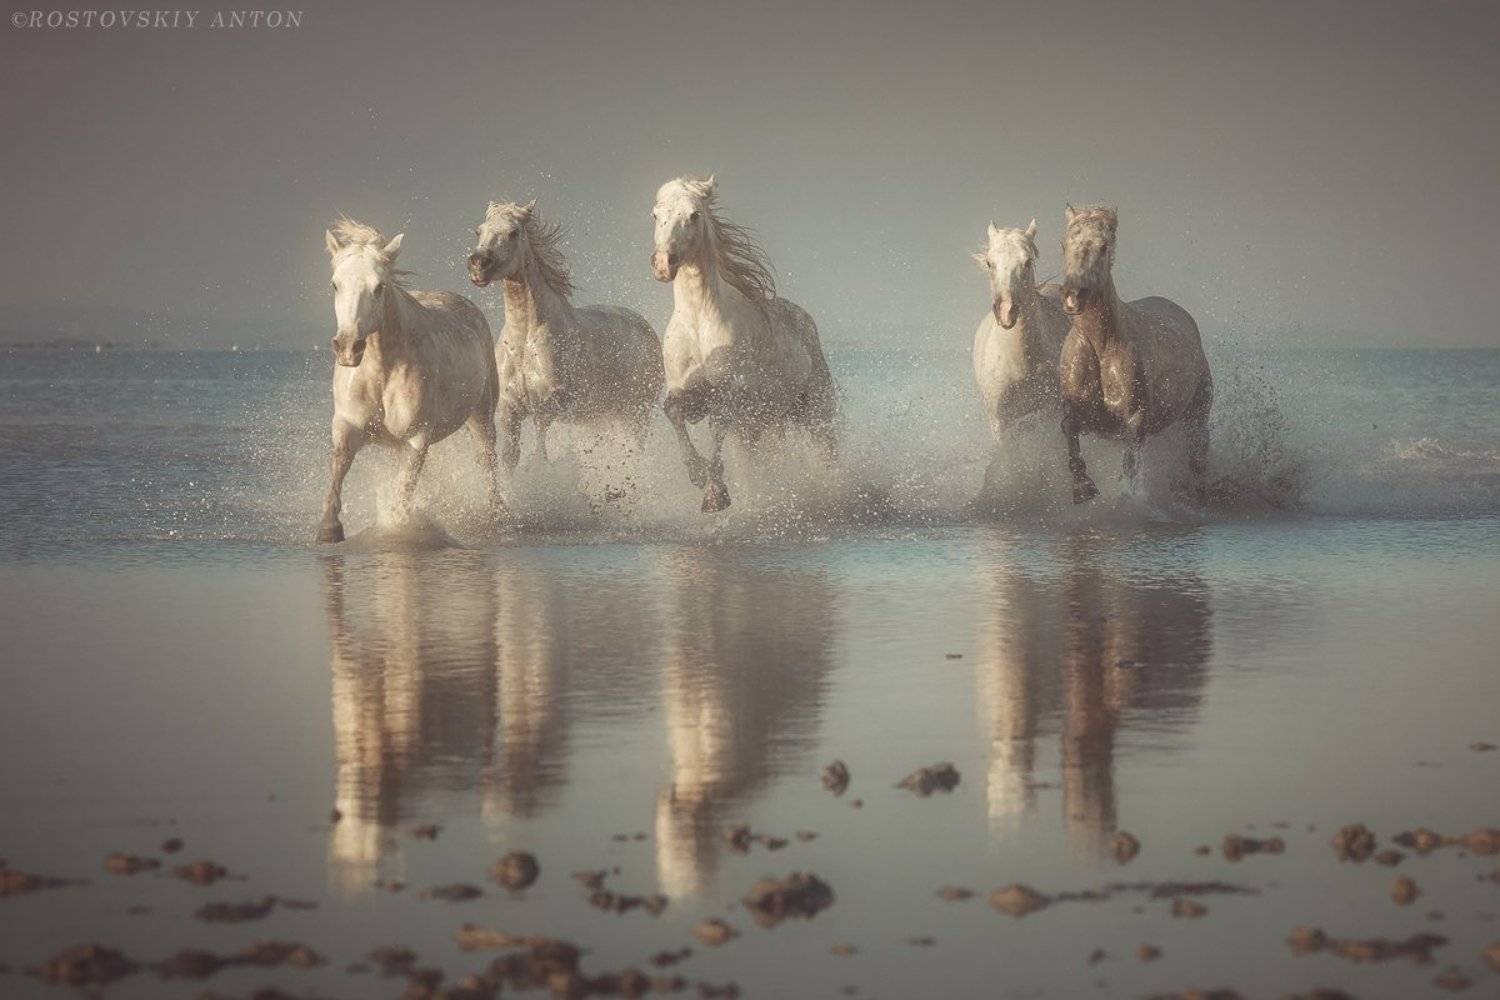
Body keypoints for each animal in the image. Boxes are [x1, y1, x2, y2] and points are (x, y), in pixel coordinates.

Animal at [318, 218, 502, 543]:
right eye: (335, 284)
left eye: (379, 287)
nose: (349, 347)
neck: (382, 371)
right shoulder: (347, 424)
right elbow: (339, 465)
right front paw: (329, 529)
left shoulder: (416, 437)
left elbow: (403, 491)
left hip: (482, 415)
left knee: (487, 462)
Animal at [467, 199, 663, 472]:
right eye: (479, 231)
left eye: (513, 232)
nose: (478, 264)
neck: (525, 340)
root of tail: (646, 328)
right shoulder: (509, 410)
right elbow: (510, 459)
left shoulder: (546, 407)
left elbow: (539, 456)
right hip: (606, 416)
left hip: (637, 414)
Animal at [650, 175, 838, 512]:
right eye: (656, 215)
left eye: (694, 215)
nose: (663, 264)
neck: (699, 325)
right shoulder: (688, 392)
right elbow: (672, 410)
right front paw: (697, 474)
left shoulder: (730, 394)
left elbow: (717, 427)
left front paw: (715, 495)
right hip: (764, 423)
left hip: (815, 409)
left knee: (826, 452)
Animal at [971, 219, 1070, 487]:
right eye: (990, 262)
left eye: (1027, 261)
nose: (1006, 311)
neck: (1020, 364)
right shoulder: (1001, 423)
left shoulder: (1051, 415)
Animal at [1057, 205, 1213, 503]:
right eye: (1064, 244)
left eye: (1104, 246)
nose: (1072, 296)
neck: (1101, 349)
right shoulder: (1084, 414)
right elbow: (1068, 427)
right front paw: (1083, 488)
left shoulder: (1134, 421)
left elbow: (1130, 465)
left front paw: (1125, 496)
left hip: (1197, 414)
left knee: (1198, 455)